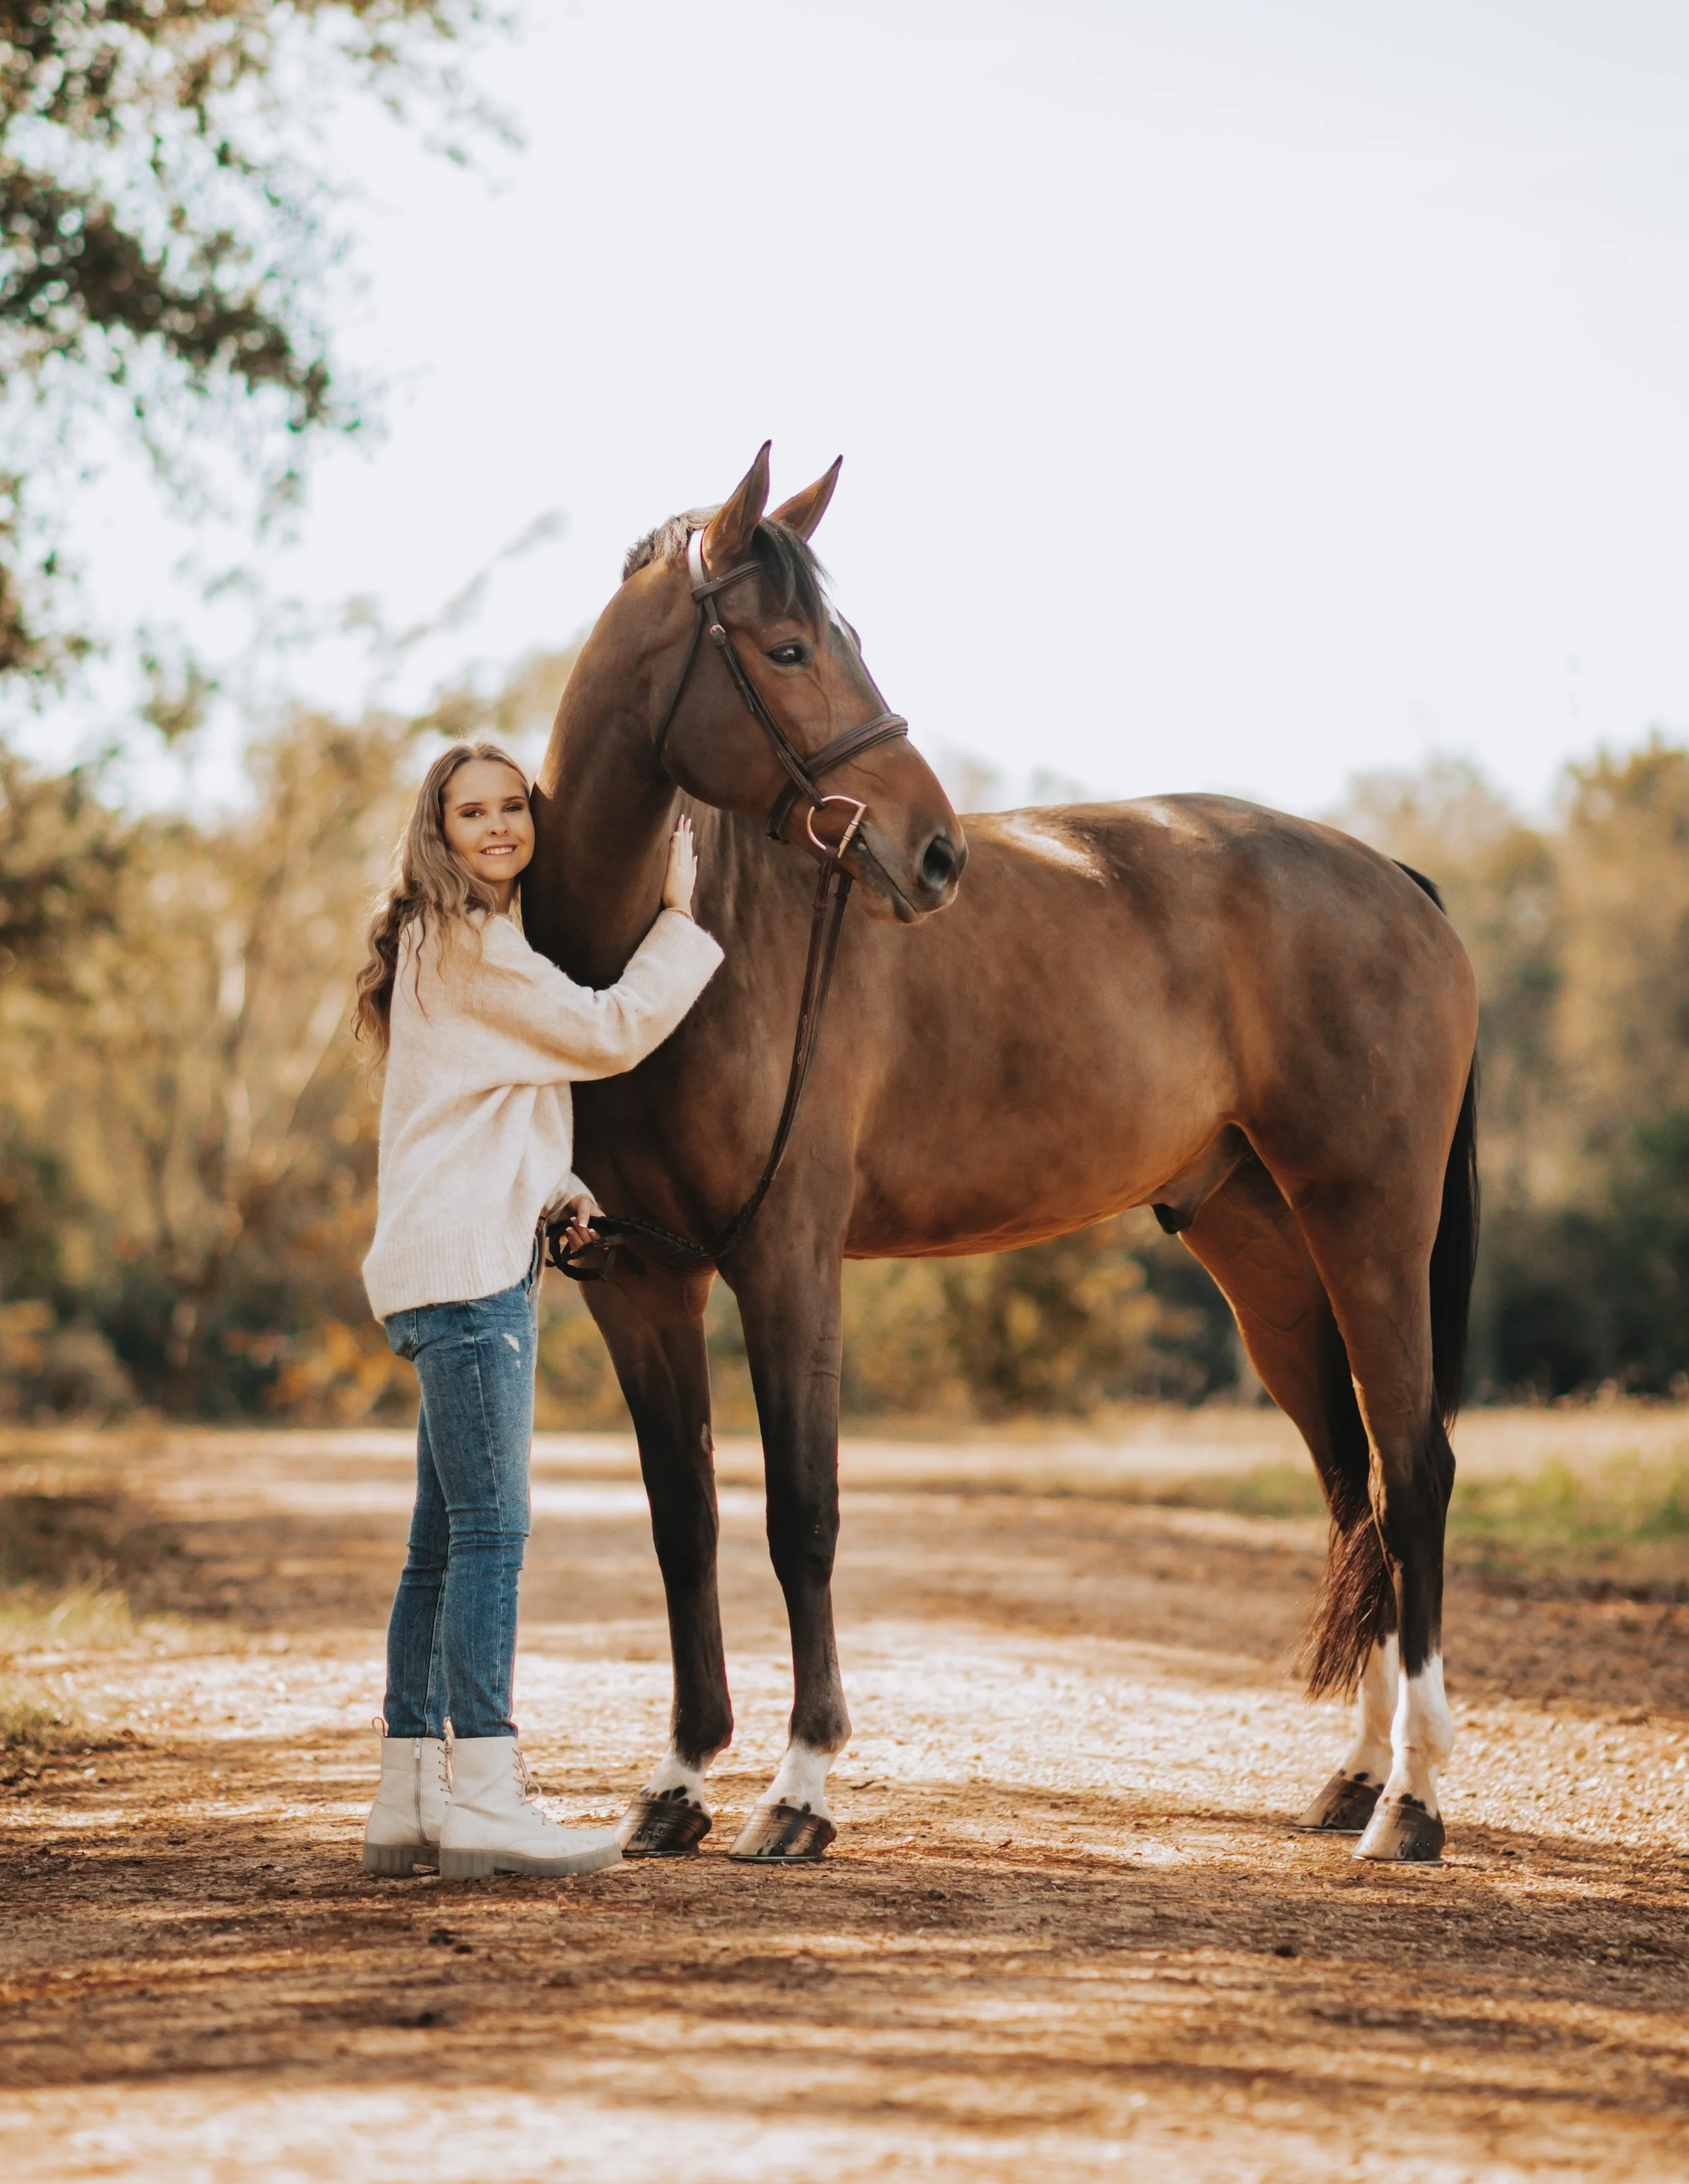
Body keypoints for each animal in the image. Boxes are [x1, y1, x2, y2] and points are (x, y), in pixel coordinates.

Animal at [523, 444, 1479, 1867]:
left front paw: (799, 1789)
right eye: (789, 647)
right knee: (1350, 1491)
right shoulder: (641, 1284)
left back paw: (1411, 1801)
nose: (934, 853)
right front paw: (679, 1778)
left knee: (1414, 1480)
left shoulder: (789, 1261)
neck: (671, 951)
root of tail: (1399, 881)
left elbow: (802, 1516)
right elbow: (682, 1523)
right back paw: (1356, 1778)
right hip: (1269, 1258)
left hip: (1371, 1224)